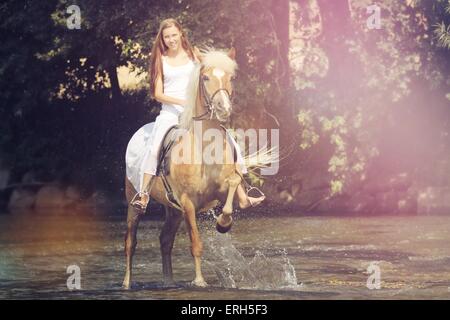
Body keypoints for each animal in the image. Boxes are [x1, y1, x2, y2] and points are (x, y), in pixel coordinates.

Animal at [123, 48, 268, 290]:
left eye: (231, 78)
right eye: (206, 78)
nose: (223, 108)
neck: (205, 148)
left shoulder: (219, 192)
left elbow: (233, 190)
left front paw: (223, 224)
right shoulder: (188, 203)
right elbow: (196, 243)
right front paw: (199, 281)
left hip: (173, 209)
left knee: (165, 240)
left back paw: (168, 282)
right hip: (134, 204)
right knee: (130, 243)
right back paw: (126, 283)